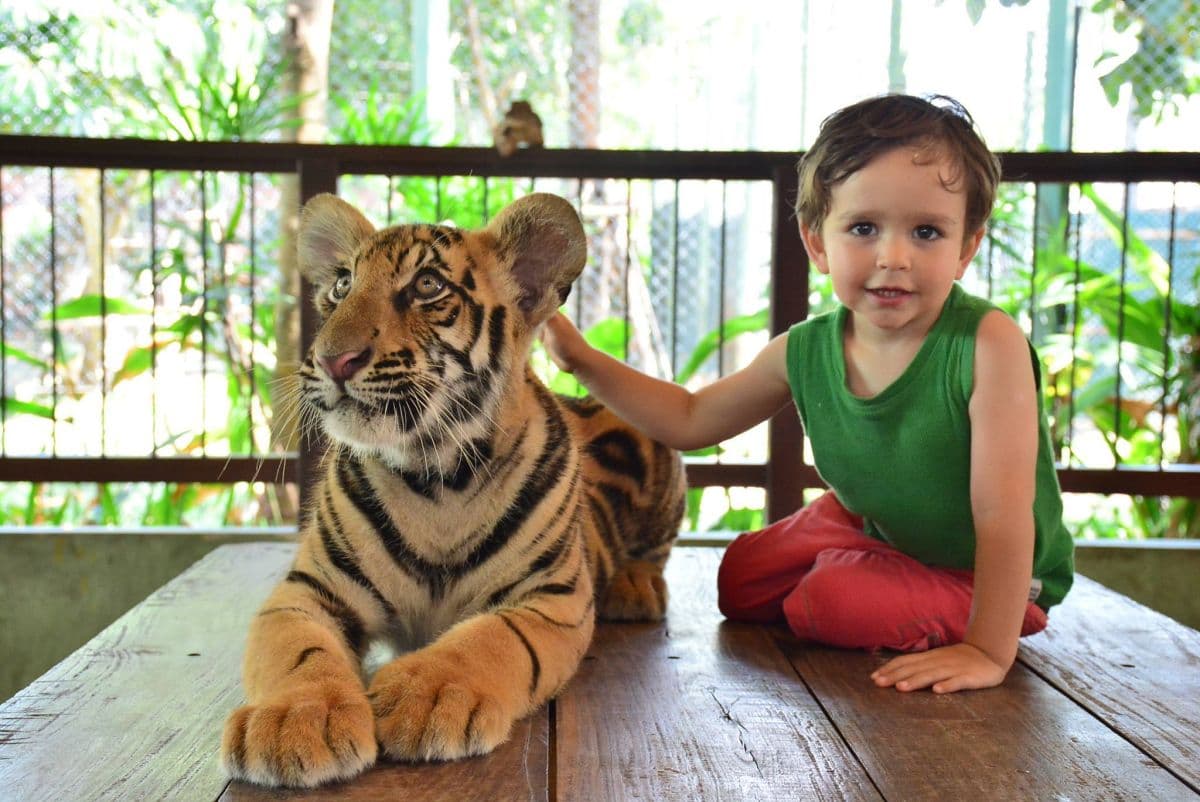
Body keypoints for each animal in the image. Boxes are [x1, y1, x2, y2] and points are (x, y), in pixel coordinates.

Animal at [220, 192, 687, 788]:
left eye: (427, 286)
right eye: (342, 285)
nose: (332, 359)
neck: (435, 473)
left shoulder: (550, 597)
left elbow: (490, 638)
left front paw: (426, 697)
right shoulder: (309, 588)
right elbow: (298, 650)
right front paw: (292, 723)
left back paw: (634, 586)